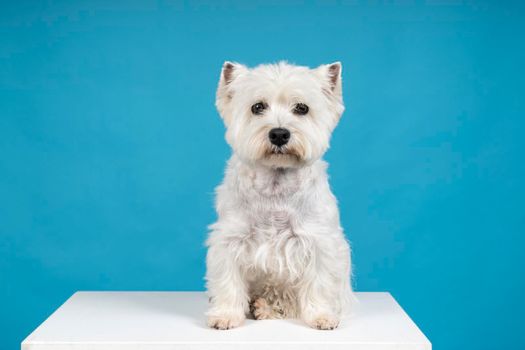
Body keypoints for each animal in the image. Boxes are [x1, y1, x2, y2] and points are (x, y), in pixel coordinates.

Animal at [205, 60, 352, 330]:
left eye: (302, 108)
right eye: (257, 107)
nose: (279, 134)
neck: (276, 182)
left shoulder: (320, 241)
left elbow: (320, 283)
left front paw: (322, 316)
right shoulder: (230, 238)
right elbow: (228, 280)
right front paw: (226, 315)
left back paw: (265, 308)